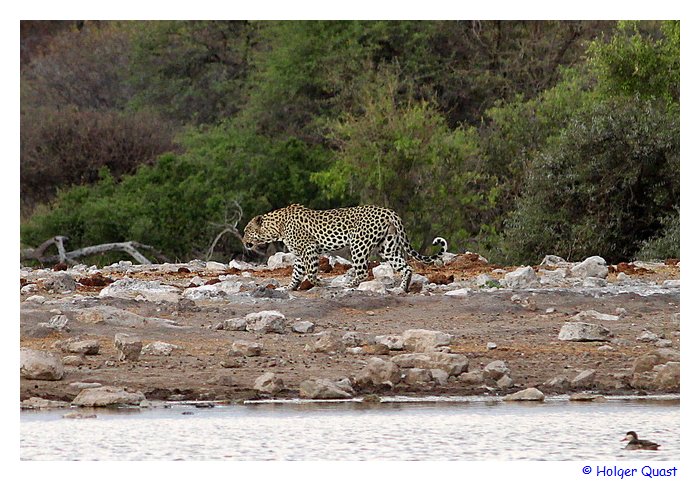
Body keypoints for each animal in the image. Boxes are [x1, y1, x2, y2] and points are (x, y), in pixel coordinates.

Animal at [243, 203, 446, 292]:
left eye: (246, 231)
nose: (243, 241)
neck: (276, 227)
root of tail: (389, 211)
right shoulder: (300, 254)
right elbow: (297, 273)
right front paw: (290, 287)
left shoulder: (309, 249)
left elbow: (311, 272)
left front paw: (320, 284)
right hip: (387, 247)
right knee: (406, 266)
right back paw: (402, 288)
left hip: (358, 244)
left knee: (362, 271)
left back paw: (347, 285)